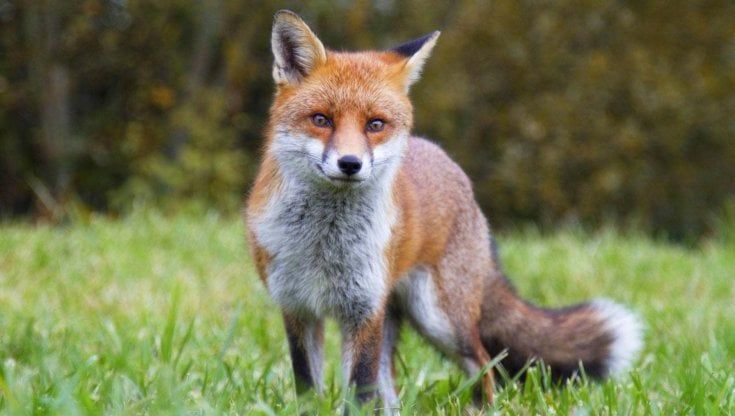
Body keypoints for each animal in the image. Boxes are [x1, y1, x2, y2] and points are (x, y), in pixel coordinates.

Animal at [246, 10, 644, 410]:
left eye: (375, 124)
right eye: (321, 119)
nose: (350, 163)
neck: (324, 243)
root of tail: (447, 161)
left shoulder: (364, 309)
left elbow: (360, 391)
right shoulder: (298, 308)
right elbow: (308, 386)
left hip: (440, 319)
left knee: (484, 363)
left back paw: (483, 410)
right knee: (392, 385)